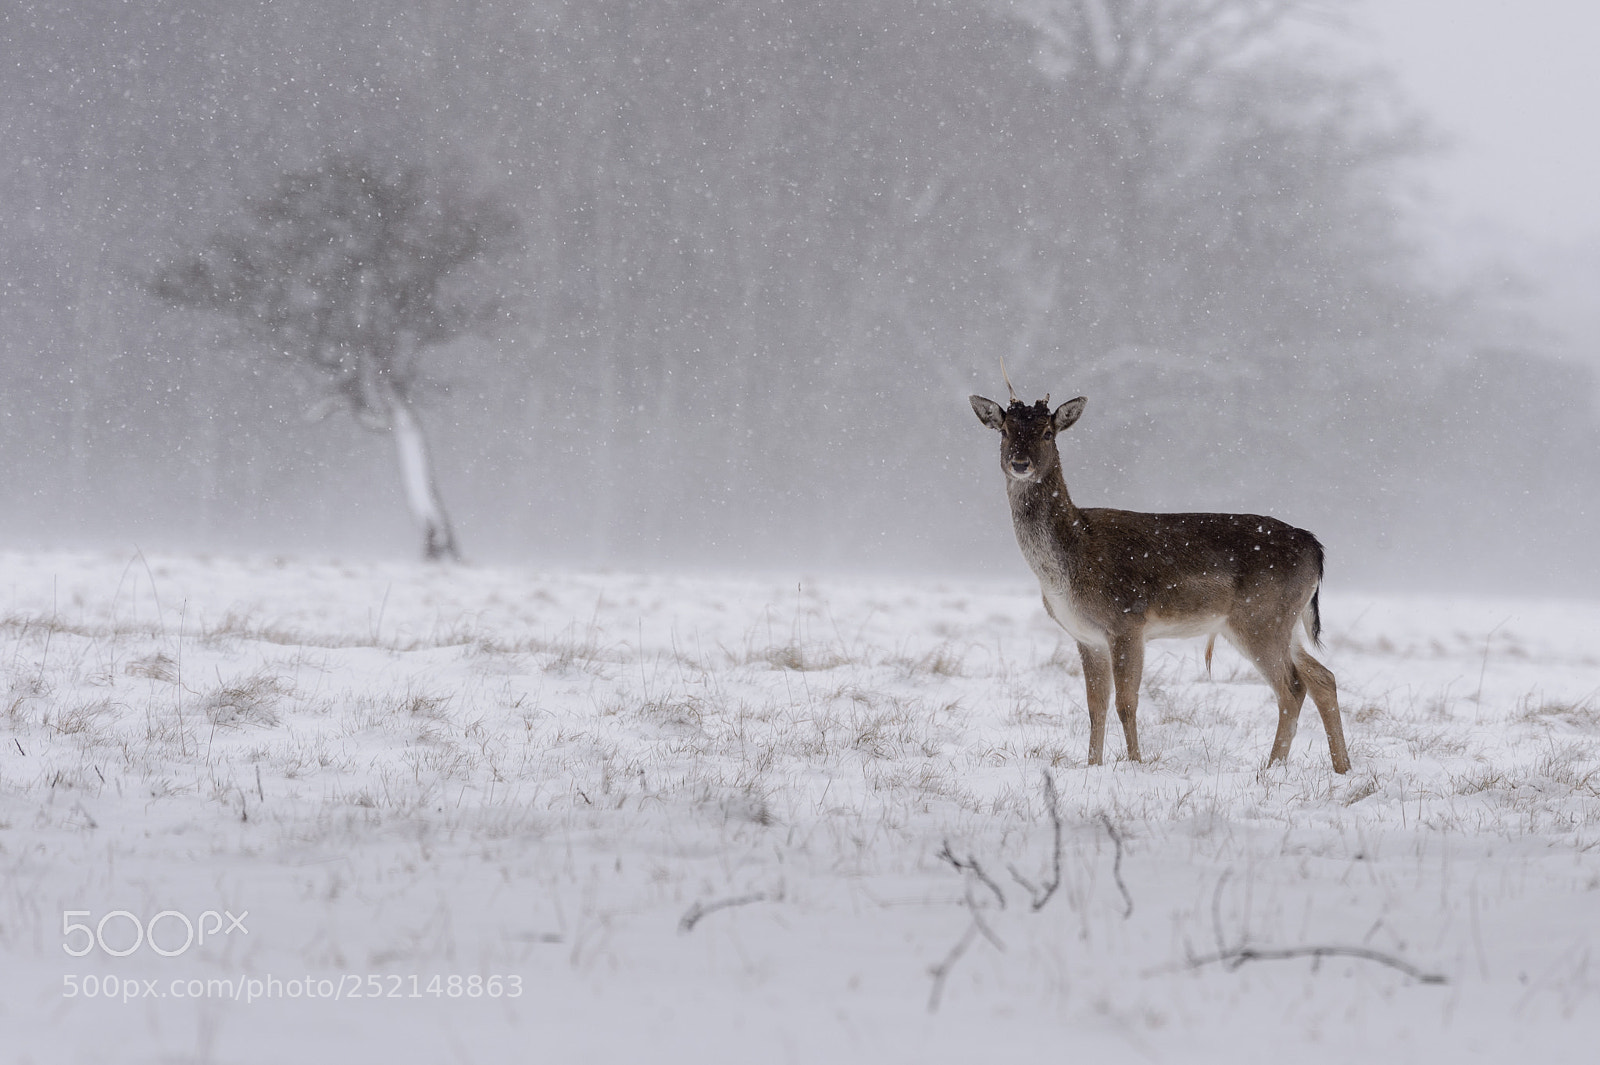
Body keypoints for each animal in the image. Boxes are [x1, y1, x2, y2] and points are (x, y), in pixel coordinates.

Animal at [970, 385, 1350, 774]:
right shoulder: (1087, 637)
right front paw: (1093, 766)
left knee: (1292, 687)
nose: (1020, 463)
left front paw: (1135, 763)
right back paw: (1342, 767)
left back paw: (1271, 768)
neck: (1070, 562)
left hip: (1260, 618)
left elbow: (1126, 703)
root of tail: (1315, 548)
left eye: (1047, 432)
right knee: (1323, 678)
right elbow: (1095, 707)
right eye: (1005, 431)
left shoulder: (1127, 621)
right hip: (1280, 623)